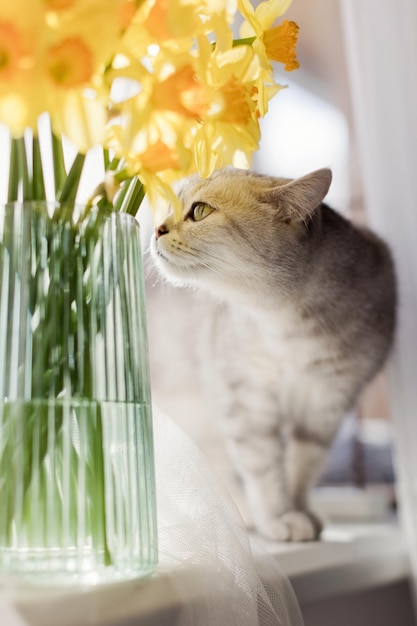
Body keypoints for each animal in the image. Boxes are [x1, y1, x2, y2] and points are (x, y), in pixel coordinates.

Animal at [149, 167, 394, 540]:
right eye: (170, 205)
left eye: (200, 211)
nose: (156, 229)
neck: (288, 327)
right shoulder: (244, 397)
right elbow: (263, 467)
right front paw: (280, 517)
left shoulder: (328, 402)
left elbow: (303, 465)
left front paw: (301, 511)